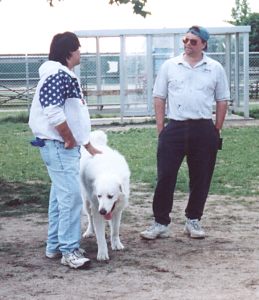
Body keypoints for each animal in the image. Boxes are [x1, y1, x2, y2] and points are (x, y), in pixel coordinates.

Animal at [80, 130, 131, 262]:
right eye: (99, 196)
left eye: (110, 196)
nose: (102, 211)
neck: (108, 171)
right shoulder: (96, 208)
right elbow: (100, 236)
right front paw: (102, 253)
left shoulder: (117, 210)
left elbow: (115, 230)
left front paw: (116, 244)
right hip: (86, 202)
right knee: (90, 218)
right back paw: (89, 231)